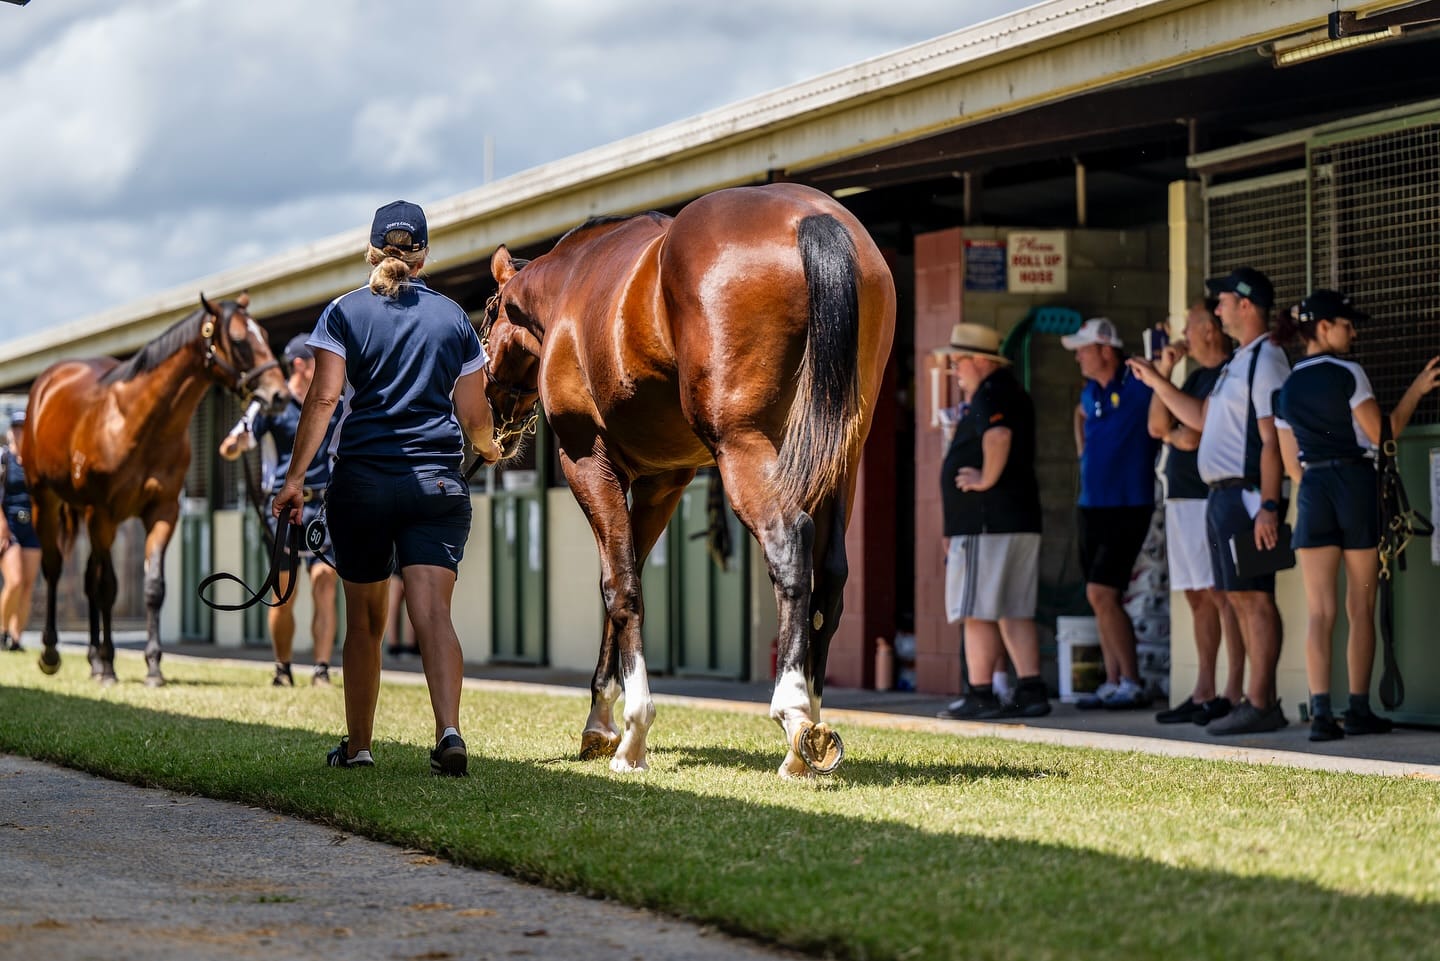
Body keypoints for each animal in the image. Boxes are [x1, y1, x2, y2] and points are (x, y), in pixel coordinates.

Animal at [21, 293, 290, 682]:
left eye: (266, 335)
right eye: (240, 340)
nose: (280, 394)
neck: (136, 423)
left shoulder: (163, 512)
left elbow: (152, 588)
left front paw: (152, 665)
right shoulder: (103, 514)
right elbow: (108, 587)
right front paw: (110, 665)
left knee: (88, 578)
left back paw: (93, 658)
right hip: (47, 500)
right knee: (56, 568)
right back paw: (54, 653)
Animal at [483, 184, 887, 778]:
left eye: (486, 321)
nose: (495, 417)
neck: (570, 288)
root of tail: (812, 217)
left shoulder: (587, 462)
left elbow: (620, 587)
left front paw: (631, 735)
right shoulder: (662, 482)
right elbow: (622, 577)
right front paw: (601, 722)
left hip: (744, 448)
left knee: (789, 547)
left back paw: (792, 716)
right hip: (840, 456)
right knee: (831, 577)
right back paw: (812, 725)